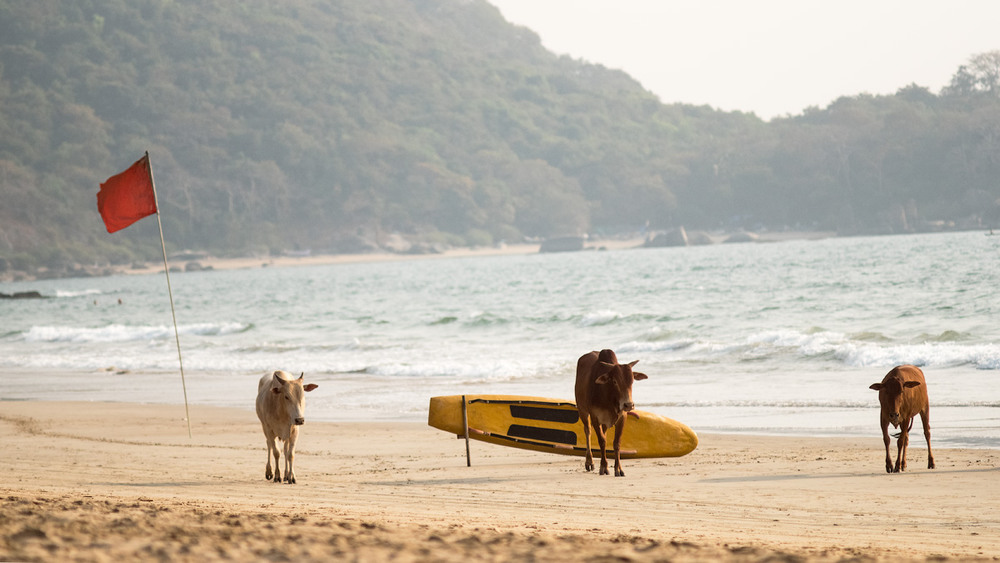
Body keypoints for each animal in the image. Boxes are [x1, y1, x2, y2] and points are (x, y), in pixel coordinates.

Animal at [576, 350, 652, 478]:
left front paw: (618, 469)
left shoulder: (622, 417)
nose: (628, 405)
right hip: (583, 411)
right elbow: (601, 441)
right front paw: (603, 467)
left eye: (632, 381)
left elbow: (616, 443)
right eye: (615, 381)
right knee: (588, 431)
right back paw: (589, 462)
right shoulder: (595, 416)